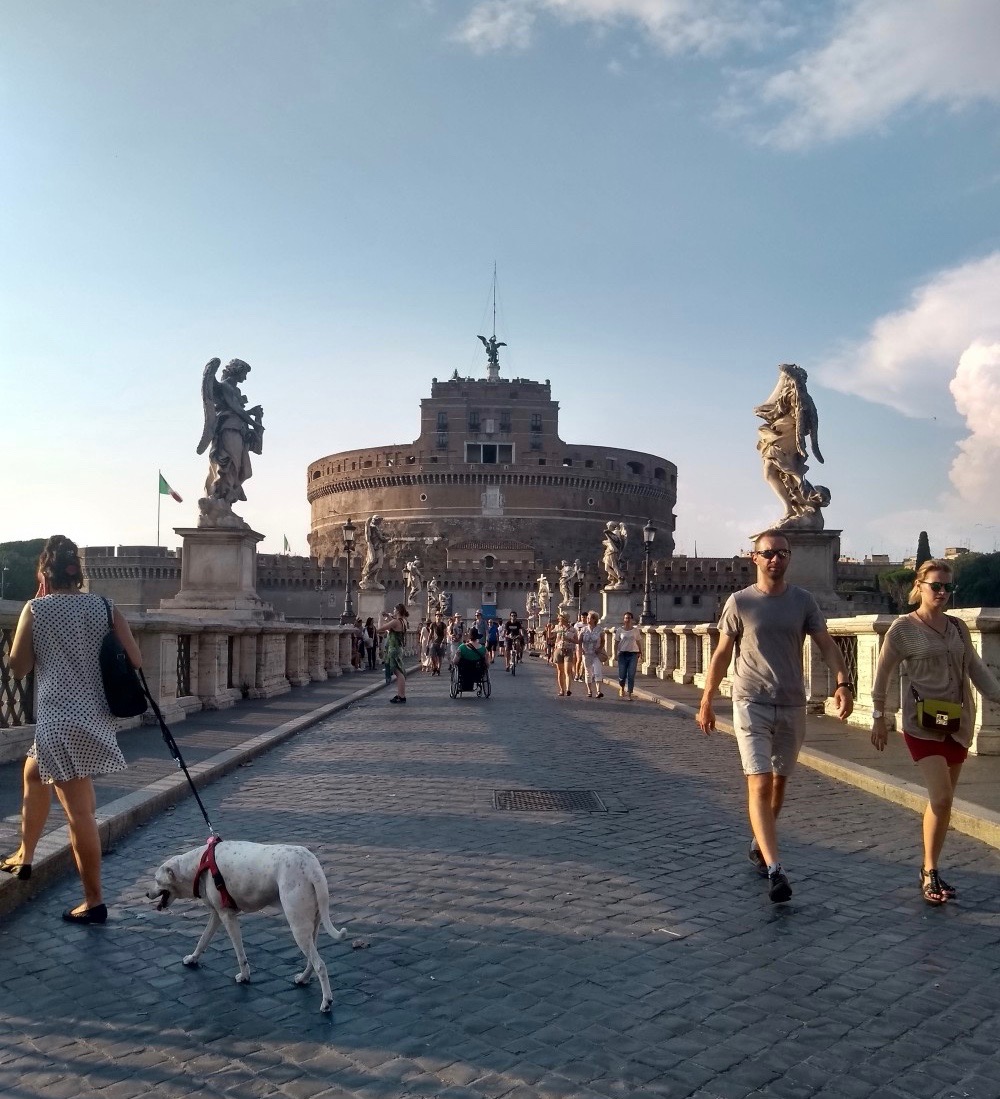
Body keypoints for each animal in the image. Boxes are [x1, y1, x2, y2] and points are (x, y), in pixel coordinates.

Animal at [147, 839, 351, 1011]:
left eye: (157, 880)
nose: (147, 894)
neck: (200, 865)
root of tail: (311, 867)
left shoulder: (227, 917)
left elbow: (239, 953)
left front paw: (244, 977)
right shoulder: (216, 916)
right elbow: (203, 940)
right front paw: (192, 959)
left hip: (298, 927)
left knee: (320, 965)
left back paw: (326, 1002)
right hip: (310, 926)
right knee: (312, 960)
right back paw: (303, 979)